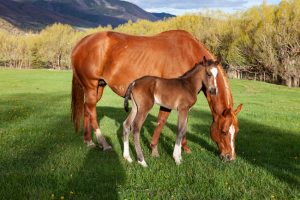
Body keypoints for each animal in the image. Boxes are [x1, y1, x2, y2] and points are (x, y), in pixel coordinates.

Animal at [70, 30, 241, 159]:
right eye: (224, 131)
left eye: (237, 132)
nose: (230, 157)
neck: (187, 53)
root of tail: (81, 42)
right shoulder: (170, 100)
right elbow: (162, 122)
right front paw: (156, 149)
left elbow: (177, 124)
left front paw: (182, 148)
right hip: (91, 86)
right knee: (92, 111)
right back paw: (103, 143)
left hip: (98, 87)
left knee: (87, 109)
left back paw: (89, 141)